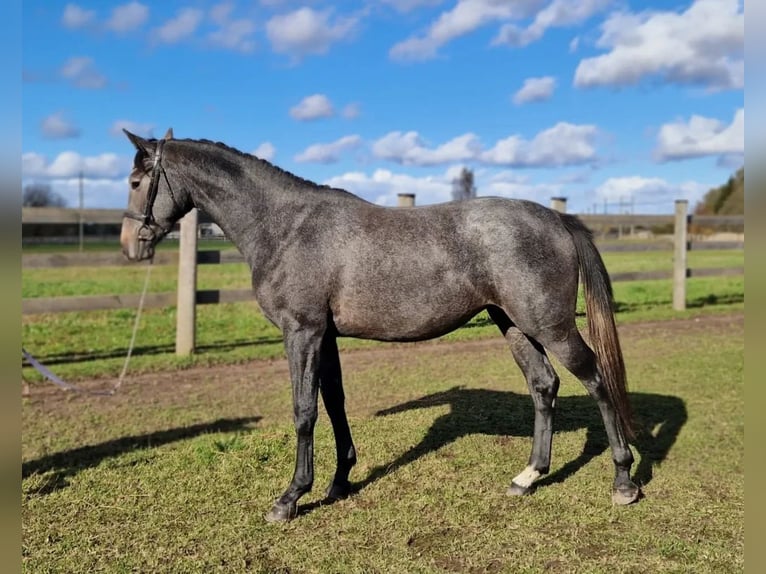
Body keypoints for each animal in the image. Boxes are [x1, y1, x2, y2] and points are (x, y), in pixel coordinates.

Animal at [120, 128, 640, 522]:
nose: (130, 244)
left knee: (596, 380)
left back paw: (623, 480)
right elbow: (333, 404)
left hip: (550, 325)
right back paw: (528, 476)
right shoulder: (325, 337)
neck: (287, 226)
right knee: (543, 385)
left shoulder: (302, 332)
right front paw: (339, 481)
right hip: (513, 323)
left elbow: (304, 411)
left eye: (135, 180)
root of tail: (556, 218)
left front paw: (291, 497)